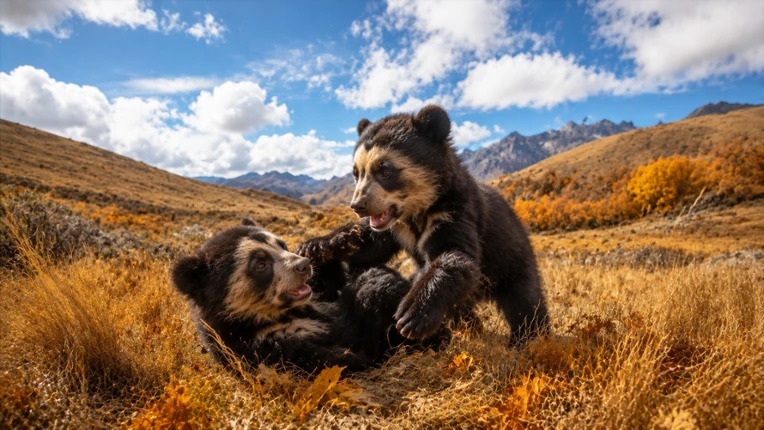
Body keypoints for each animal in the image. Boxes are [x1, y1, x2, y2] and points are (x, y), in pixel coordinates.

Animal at [171, 218, 416, 373]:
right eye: (260, 265)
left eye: (282, 244)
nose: (303, 265)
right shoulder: (270, 348)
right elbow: (350, 349)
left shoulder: (321, 291)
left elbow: (335, 278)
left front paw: (326, 244)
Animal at [297, 105, 549, 344]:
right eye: (356, 173)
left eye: (385, 170)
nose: (358, 205)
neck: (416, 214)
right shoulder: (393, 229)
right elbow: (369, 246)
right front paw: (317, 246)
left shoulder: (454, 212)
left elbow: (456, 255)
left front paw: (412, 315)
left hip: (512, 259)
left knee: (526, 302)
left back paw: (528, 338)